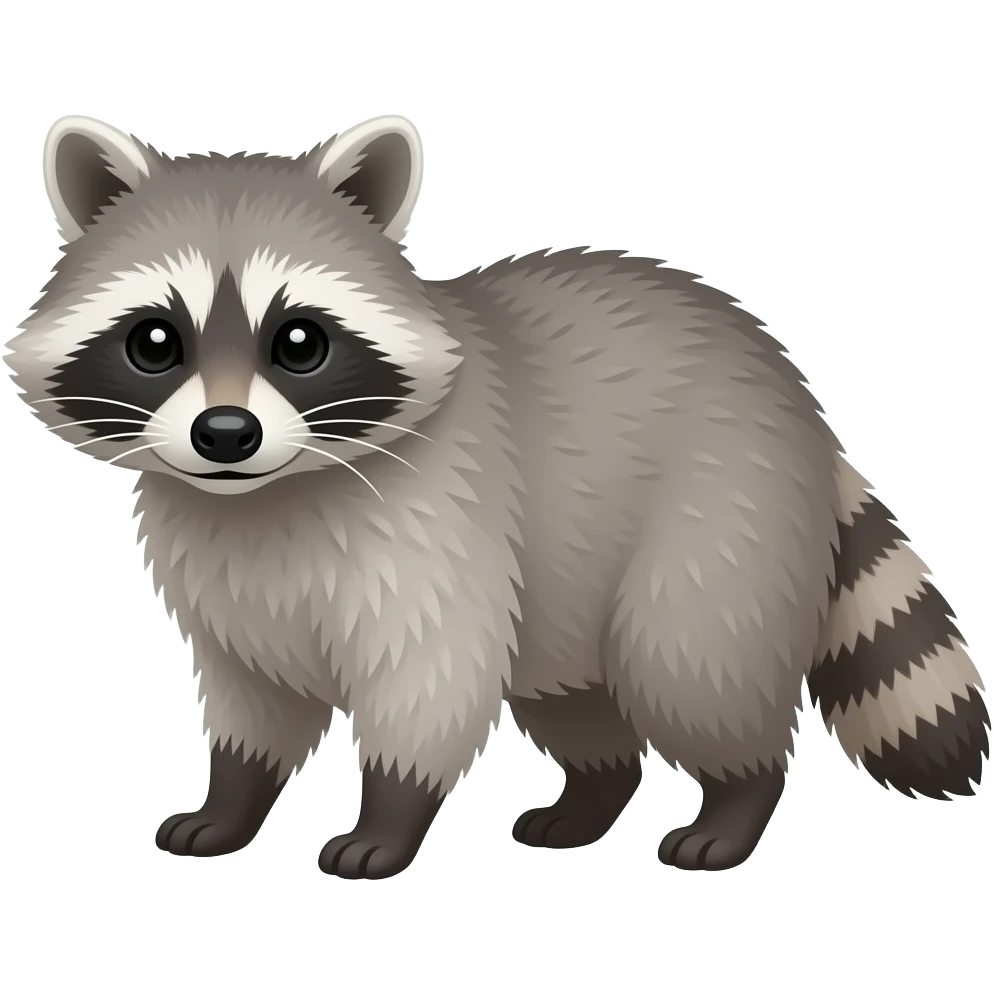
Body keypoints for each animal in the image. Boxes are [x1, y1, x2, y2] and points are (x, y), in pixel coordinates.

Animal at [4, 113, 989, 879]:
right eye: (155, 341)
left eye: (299, 342)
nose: (224, 434)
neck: (265, 492)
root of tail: (794, 391)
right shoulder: (218, 570)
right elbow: (254, 699)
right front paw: (232, 798)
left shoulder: (439, 521)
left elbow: (429, 682)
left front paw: (386, 819)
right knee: (580, 700)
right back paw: (591, 797)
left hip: (721, 511)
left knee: (690, 662)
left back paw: (736, 804)